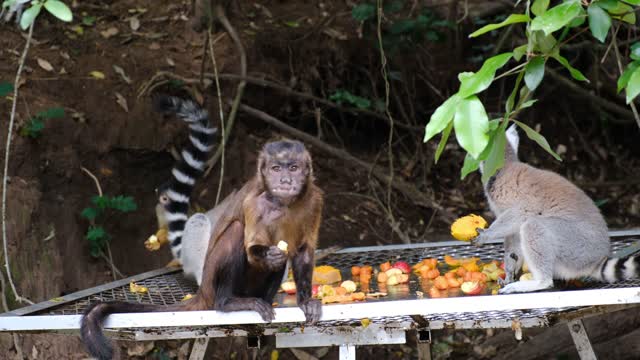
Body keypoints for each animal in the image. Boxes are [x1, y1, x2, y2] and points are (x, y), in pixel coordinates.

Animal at [80, 139, 322, 358]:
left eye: (293, 168)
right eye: (276, 168)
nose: (285, 180)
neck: (283, 203)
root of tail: (203, 291)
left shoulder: (313, 199)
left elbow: (302, 250)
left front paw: (305, 300)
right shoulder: (257, 201)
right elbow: (253, 247)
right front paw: (267, 254)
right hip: (212, 281)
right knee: (235, 230)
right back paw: (227, 302)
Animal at [472, 125, 636, 294]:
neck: (501, 167)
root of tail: (596, 259)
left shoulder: (517, 200)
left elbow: (521, 214)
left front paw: (485, 235)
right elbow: (514, 237)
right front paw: (509, 273)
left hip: (575, 245)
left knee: (534, 226)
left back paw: (538, 282)